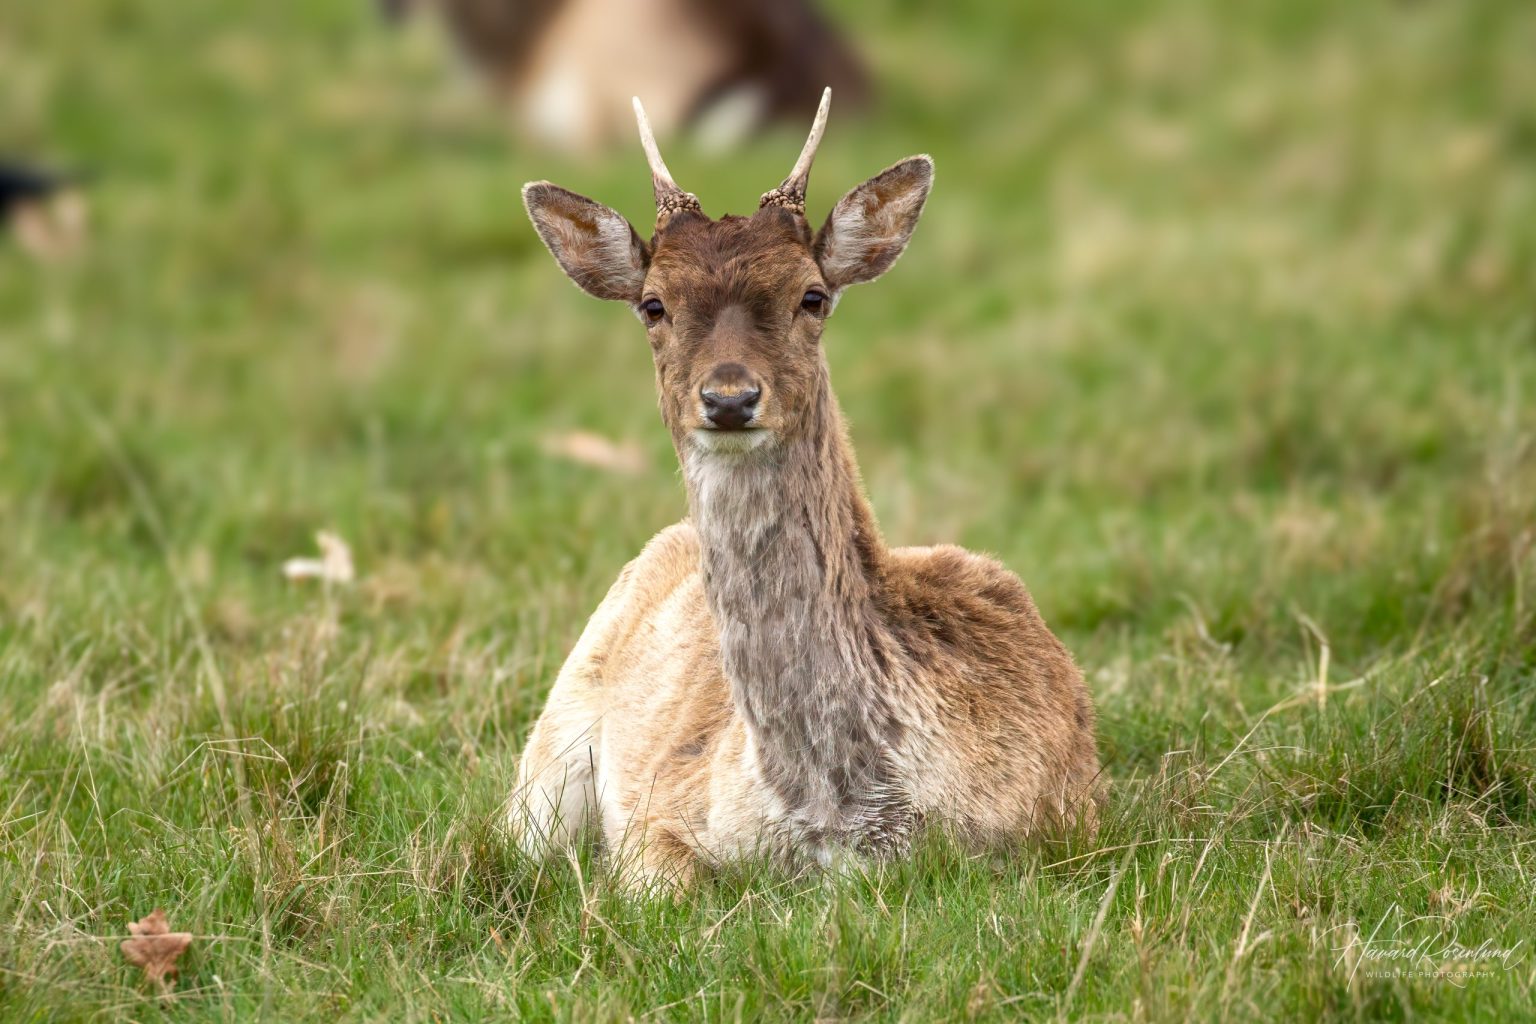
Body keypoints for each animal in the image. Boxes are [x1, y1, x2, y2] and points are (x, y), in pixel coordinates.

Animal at [512, 89, 1100, 889]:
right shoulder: (660, 810)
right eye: (654, 305)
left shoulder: (1060, 827)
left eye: (812, 296)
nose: (729, 397)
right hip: (543, 763)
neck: (838, 820)